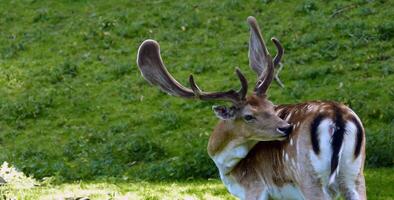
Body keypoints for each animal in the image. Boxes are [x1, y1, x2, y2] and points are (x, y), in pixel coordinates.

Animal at [136, 16, 366, 199]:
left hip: (310, 179)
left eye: (271, 107)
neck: (225, 165)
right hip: (355, 176)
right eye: (249, 115)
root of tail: (337, 117)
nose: (286, 127)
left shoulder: (254, 188)